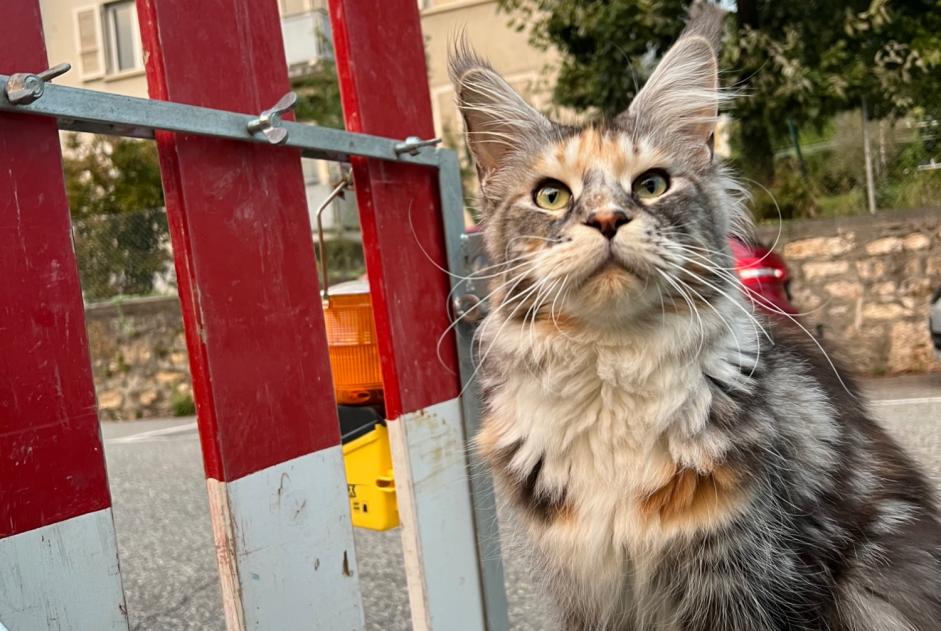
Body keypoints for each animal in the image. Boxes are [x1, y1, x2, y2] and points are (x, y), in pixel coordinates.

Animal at [446, 6, 940, 631]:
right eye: (552, 196)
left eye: (652, 185)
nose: (607, 219)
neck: (613, 371)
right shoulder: (587, 586)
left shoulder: (753, 575)